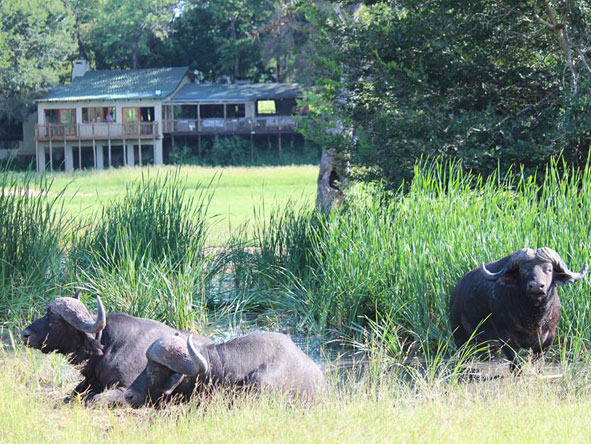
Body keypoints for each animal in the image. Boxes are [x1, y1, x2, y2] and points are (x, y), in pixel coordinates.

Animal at [21, 292, 213, 402]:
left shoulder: (124, 388)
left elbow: (95, 399)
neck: (109, 346)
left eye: (54, 320)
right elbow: (72, 394)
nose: (25, 334)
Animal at [454, 248, 588, 370]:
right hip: (460, 334)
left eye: (549, 269)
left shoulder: (548, 338)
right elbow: (516, 364)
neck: (533, 316)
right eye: (523, 270)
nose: (536, 286)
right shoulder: (506, 338)